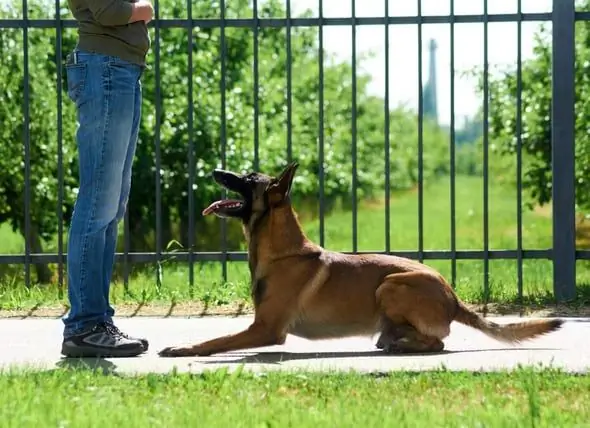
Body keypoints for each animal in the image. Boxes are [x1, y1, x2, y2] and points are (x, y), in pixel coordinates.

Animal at [160, 162, 568, 356]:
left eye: (246, 178)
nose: (215, 170)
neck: (281, 252)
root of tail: (453, 297)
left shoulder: (266, 329)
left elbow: (216, 340)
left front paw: (184, 348)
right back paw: (396, 340)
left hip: (390, 285)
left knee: (438, 342)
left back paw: (404, 344)